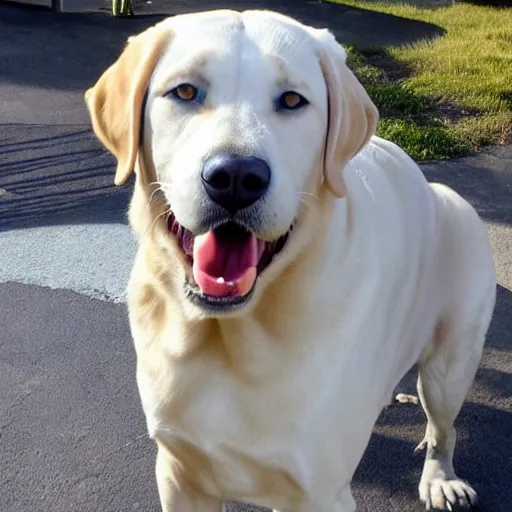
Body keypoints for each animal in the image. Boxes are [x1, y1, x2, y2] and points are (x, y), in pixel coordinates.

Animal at [84, 9, 496, 512]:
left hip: (450, 364)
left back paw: (441, 478)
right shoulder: (180, 474)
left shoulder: (319, 493)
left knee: (443, 426)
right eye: (184, 92)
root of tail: (436, 190)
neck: (232, 337)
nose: (236, 176)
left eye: (293, 100)